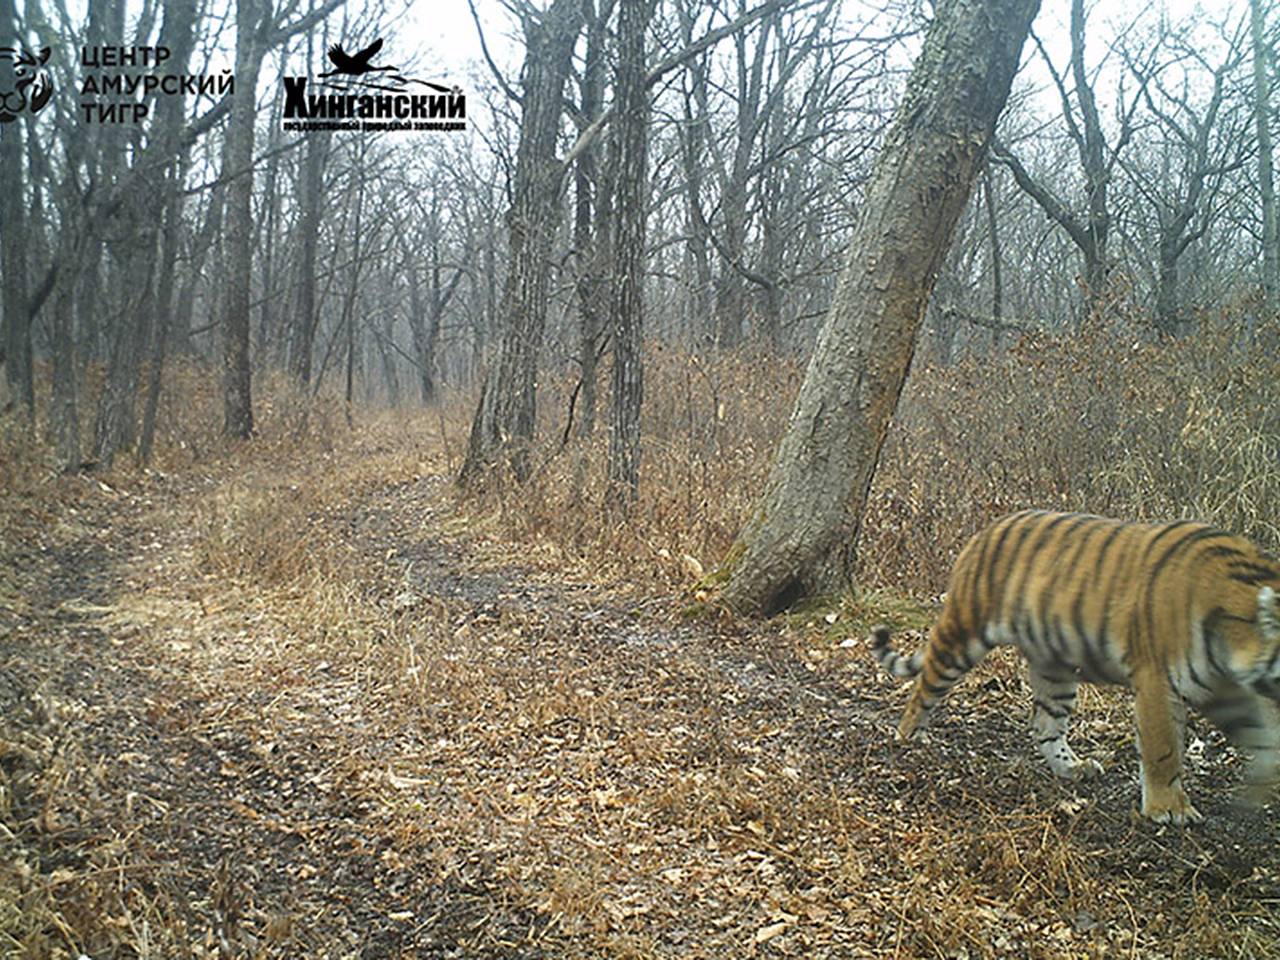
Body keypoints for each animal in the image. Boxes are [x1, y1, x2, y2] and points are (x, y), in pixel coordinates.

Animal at [870, 512, 1280, 829]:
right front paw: (1169, 809)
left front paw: (1255, 795)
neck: (1233, 645)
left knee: (1044, 725)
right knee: (924, 686)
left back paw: (1074, 767)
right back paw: (909, 736)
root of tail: (985, 531)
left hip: (1056, 667)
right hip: (963, 635)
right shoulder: (1158, 681)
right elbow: (1163, 749)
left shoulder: (1226, 690)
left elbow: (1264, 739)